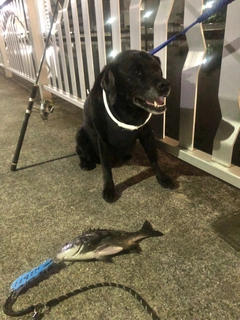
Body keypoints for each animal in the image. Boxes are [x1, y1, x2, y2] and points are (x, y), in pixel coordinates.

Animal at [76, 50, 174, 202]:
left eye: (157, 69)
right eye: (136, 72)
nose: (165, 84)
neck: (127, 109)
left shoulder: (147, 134)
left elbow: (154, 158)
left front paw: (162, 177)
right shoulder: (103, 140)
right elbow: (106, 168)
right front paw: (109, 189)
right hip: (80, 134)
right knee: (81, 151)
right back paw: (86, 163)